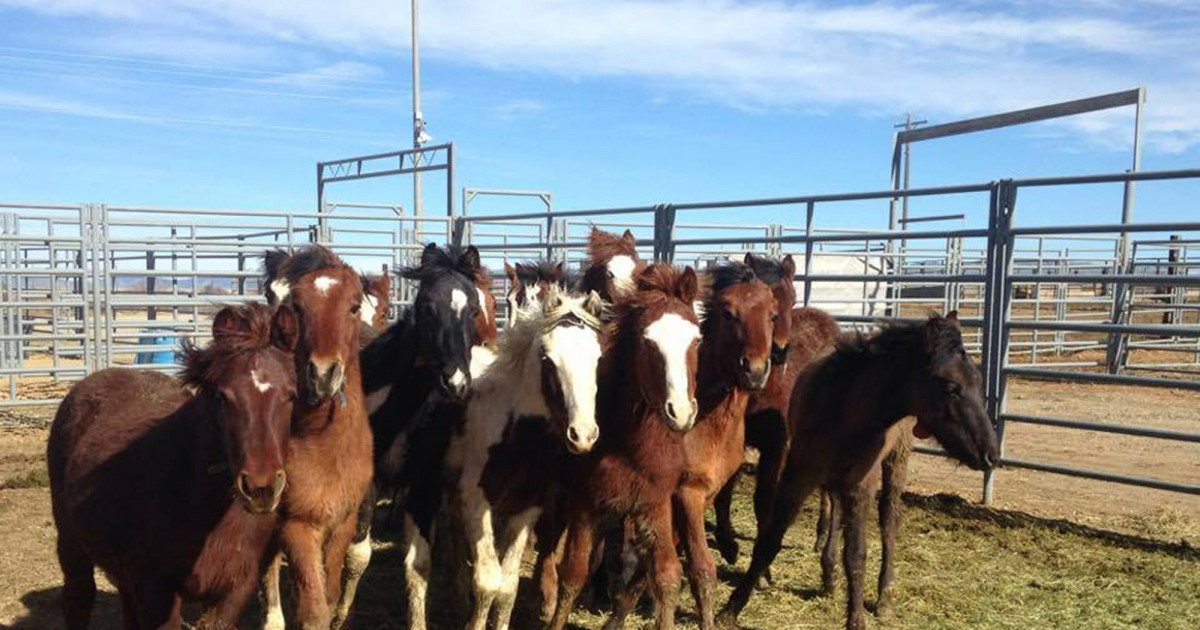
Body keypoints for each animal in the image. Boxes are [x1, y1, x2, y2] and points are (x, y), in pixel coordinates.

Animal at [49, 302, 297, 624]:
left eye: (291, 395)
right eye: (222, 396)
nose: (261, 488)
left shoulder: (232, 592)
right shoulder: (157, 591)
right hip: (72, 545)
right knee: (78, 598)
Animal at [259, 246, 372, 628]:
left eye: (354, 305)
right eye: (297, 305)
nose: (323, 374)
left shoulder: (344, 521)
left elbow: (332, 593)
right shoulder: (296, 525)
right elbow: (313, 611)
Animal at [720, 309, 1003, 628]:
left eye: (978, 382)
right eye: (951, 387)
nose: (991, 454)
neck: (846, 412)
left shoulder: (861, 485)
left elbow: (856, 554)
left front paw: (856, 618)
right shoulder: (798, 475)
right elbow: (770, 540)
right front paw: (730, 609)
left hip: (896, 461)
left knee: (889, 521)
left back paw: (883, 597)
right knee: (834, 510)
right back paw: (829, 574)